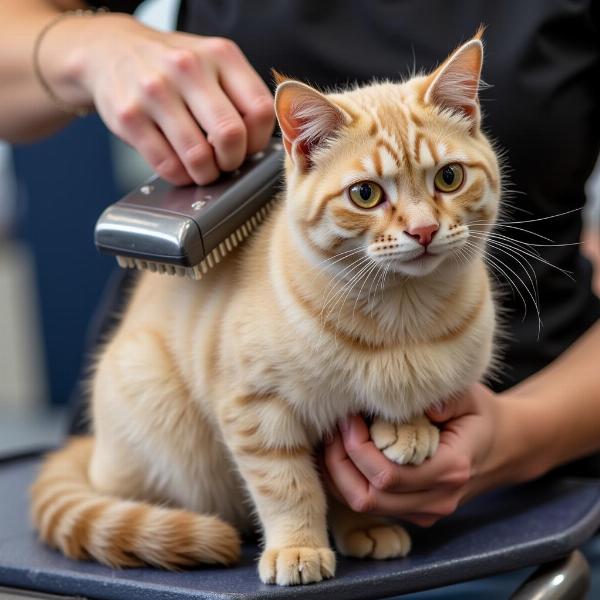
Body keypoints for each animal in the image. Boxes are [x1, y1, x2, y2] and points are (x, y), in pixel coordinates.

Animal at [32, 31, 502, 584]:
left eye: (448, 178)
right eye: (366, 194)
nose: (424, 231)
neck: (402, 318)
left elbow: (366, 461)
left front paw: (403, 439)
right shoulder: (255, 409)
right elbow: (288, 486)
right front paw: (298, 548)